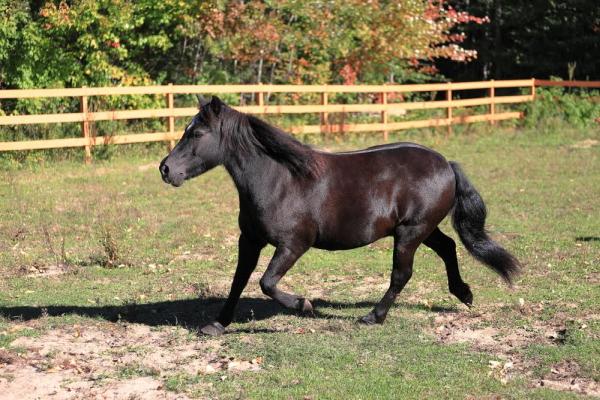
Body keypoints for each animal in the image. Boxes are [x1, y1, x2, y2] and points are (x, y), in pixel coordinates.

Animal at [159, 96, 520, 334]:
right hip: (422, 229)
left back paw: (373, 317)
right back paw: (464, 293)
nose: (165, 169)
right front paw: (217, 325)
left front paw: (304, 306)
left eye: (197, 134)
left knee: (401, 275)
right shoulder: (249, 241)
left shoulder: (293, 244)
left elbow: (267, 282)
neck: (278, 179)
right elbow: (239, 280)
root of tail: (446, 163)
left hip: (410, 233)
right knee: (447, 248)